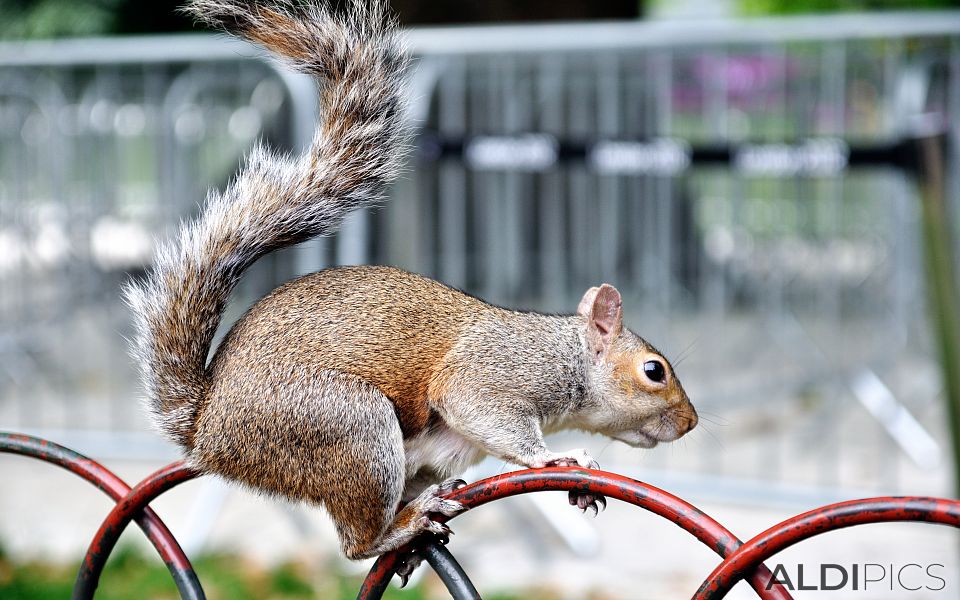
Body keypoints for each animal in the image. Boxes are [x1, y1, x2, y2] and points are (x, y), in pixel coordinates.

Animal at [125, 0, 696, 584]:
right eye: (654, 371)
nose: (691, 422)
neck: (565, 352)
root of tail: (205, 428)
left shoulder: (443, 450)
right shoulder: (491, 375)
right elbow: (486, 411)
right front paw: (560, 460)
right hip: (348, 426)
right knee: (355, 541)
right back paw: (399, 529)